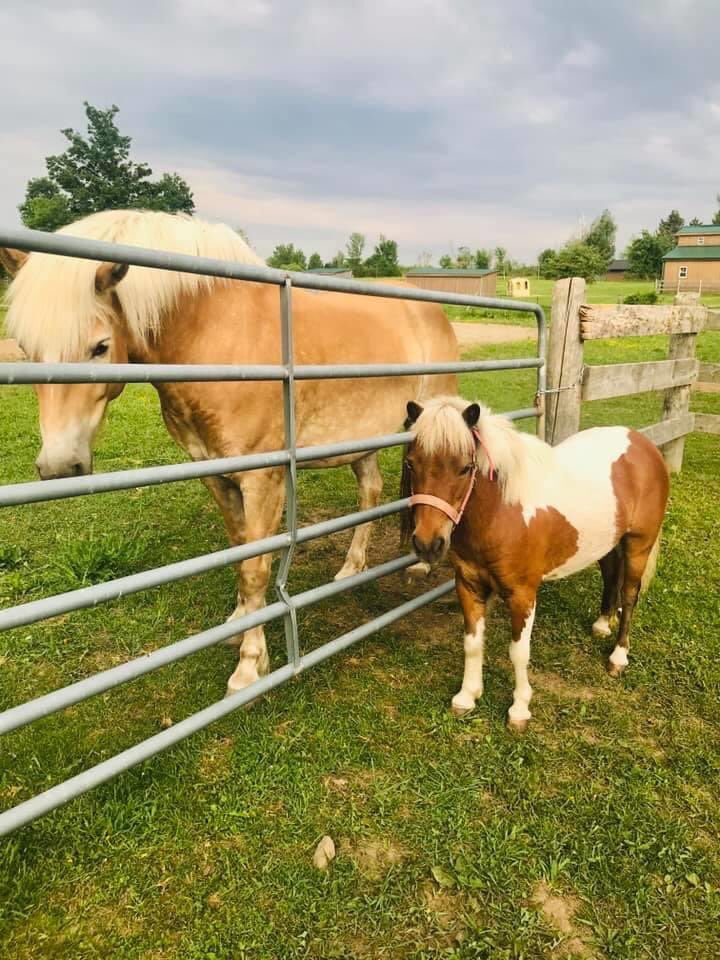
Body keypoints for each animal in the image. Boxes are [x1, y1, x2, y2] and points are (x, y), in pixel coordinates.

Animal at [0, 210, 458, 696]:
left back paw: (421, 567)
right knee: (371, 491)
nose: (58, 466)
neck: (214, 336)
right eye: (27, 350)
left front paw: (250, 666)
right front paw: (240, 621)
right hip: (364, 438)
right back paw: (352, 569)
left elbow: (257, 566)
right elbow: (240, 552)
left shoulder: (263, 480)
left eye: (100, 347)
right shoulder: (214, 472)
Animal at [400, 396, 669, 731]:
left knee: (629, 595)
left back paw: (618, 657)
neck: (501, 511)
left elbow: (518, 652)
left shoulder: (522, 595)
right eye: (411, 464)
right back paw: (601, 624)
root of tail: (643, 444)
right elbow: (472, 643)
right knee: (610, 578)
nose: (427, 544)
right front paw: (467, 696)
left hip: (638, 546)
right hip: (606, 543)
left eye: (465, 468)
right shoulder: (469, 585)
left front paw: (519, 710)